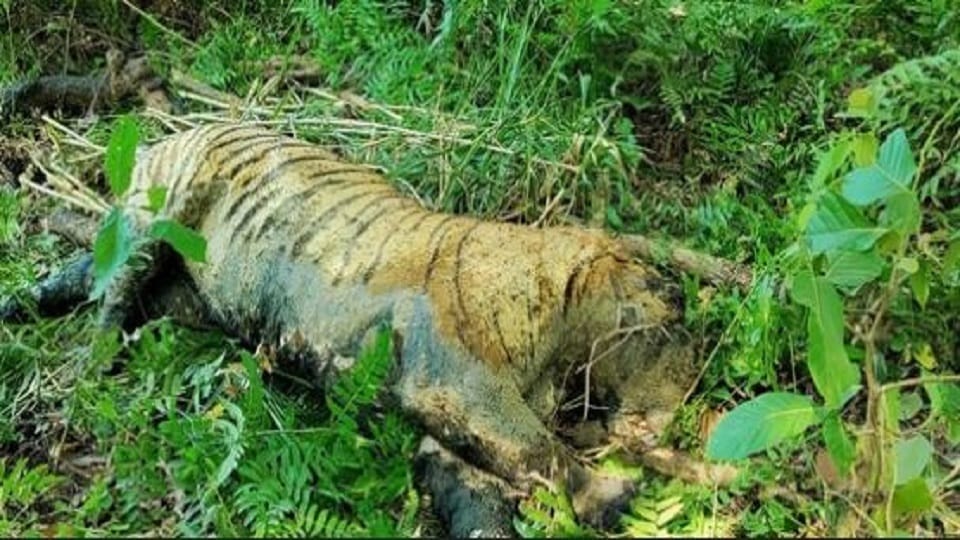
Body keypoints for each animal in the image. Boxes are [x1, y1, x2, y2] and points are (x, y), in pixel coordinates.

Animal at [4, 123, 719, 536]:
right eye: (666, 312)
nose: (695, 352)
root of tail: (171, 132)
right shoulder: (463, 388)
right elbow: (540, 450)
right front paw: (614, 495)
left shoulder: (452, 423)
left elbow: (482, 490)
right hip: (159, 213)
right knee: (111, 295)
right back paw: (93, 369)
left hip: (182, 293)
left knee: (86, 276)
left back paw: (19, 305)